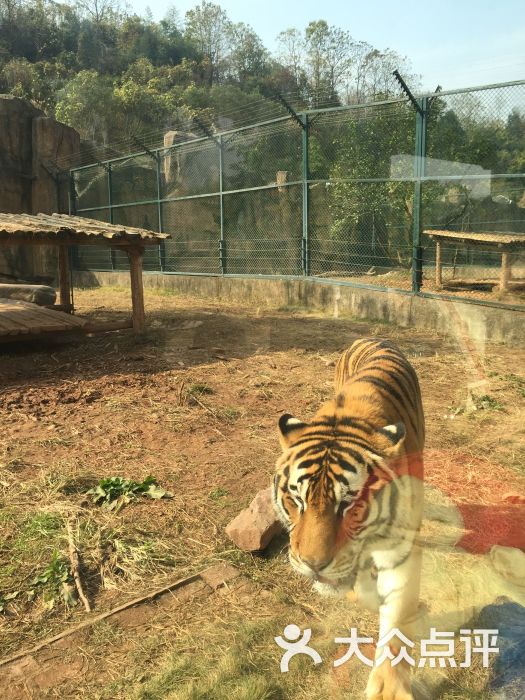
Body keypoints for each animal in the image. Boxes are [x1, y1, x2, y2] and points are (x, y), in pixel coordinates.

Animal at [272, 336, 424, 696]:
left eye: (349, 504)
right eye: (296, 499)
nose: (313, 564)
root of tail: (373, 336)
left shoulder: (402, 546)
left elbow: (396, 614)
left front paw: (388, 688)